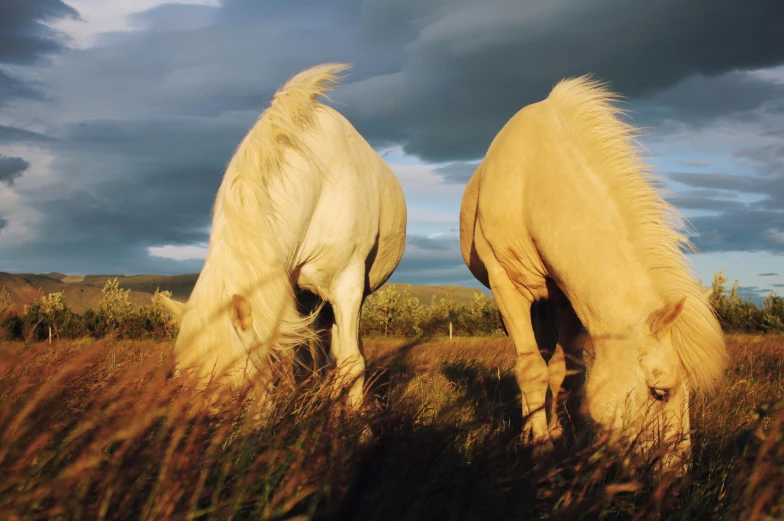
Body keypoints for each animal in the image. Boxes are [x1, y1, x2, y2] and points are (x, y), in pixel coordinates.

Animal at [157, 63, 408, 408]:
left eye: (234, 391)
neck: (319, 188)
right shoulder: (284, 293)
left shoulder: (348, 286)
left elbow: (351, 362)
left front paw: (356, 417)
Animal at [460, 75, 728, 470]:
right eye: (660, 392)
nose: (676, 475)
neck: (532, 181)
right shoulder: (507, 285)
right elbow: (531, 370)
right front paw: (540, 447)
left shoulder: (568, 299)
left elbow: (564, 374)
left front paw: (563, 439)